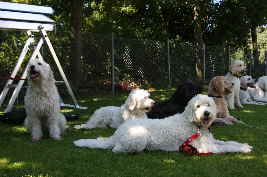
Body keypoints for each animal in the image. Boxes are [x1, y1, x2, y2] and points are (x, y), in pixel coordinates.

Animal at [74, 94, 253, 154]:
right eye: (197, 106)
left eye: (208, 105)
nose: (206, 113)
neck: (194, 124)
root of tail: (117, 134)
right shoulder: (206, 148)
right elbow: (227, 147)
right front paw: (244, 149)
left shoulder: (211, 141)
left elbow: (228, 142)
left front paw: (244, 144)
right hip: (138, 139)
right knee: (117, 150)